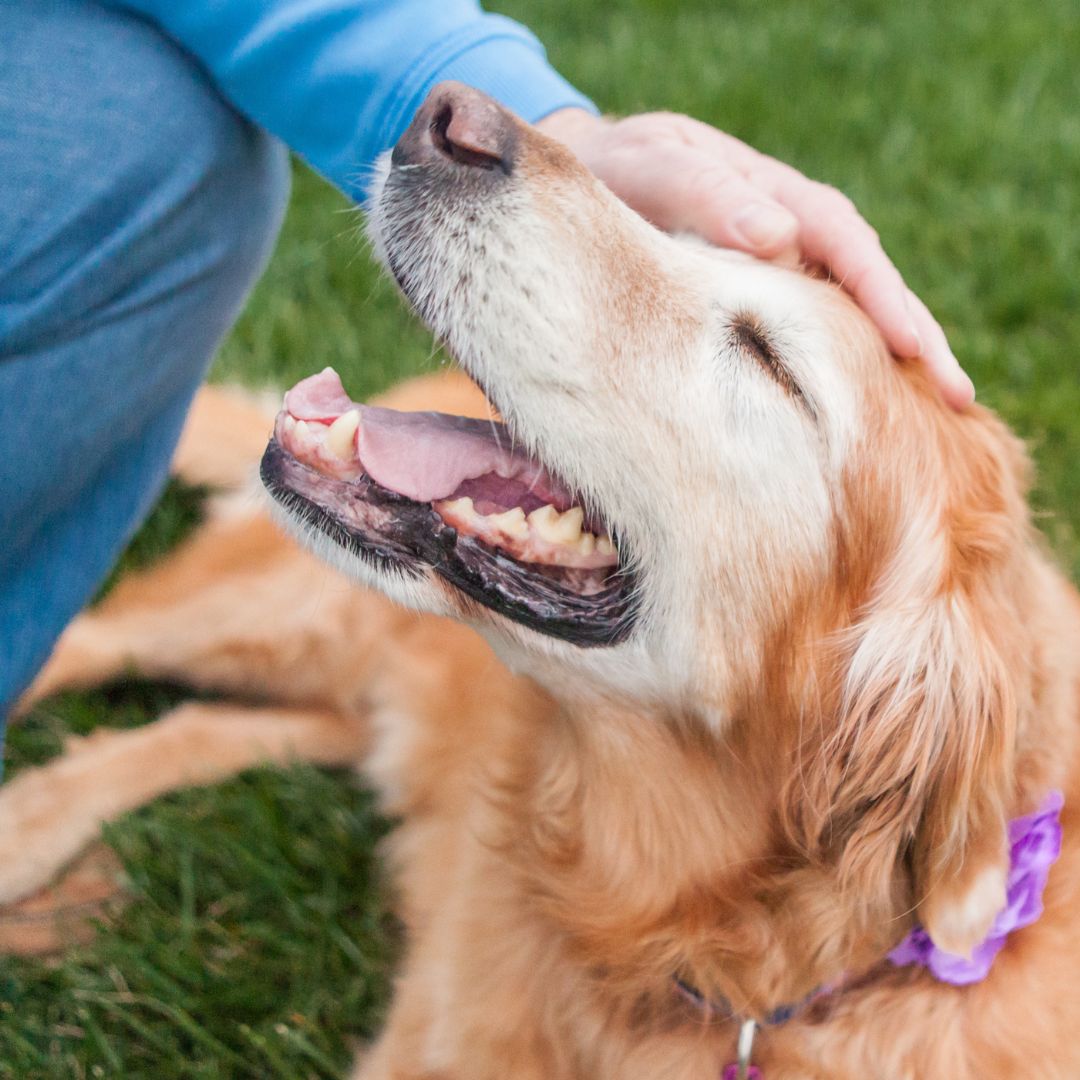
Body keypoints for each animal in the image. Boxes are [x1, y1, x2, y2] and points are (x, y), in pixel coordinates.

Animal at [2, 79, 1080, 1075]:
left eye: (770, 360)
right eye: (688, 235)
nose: (448, 116)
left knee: (206, 725)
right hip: (286, 612)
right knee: (86, 641)